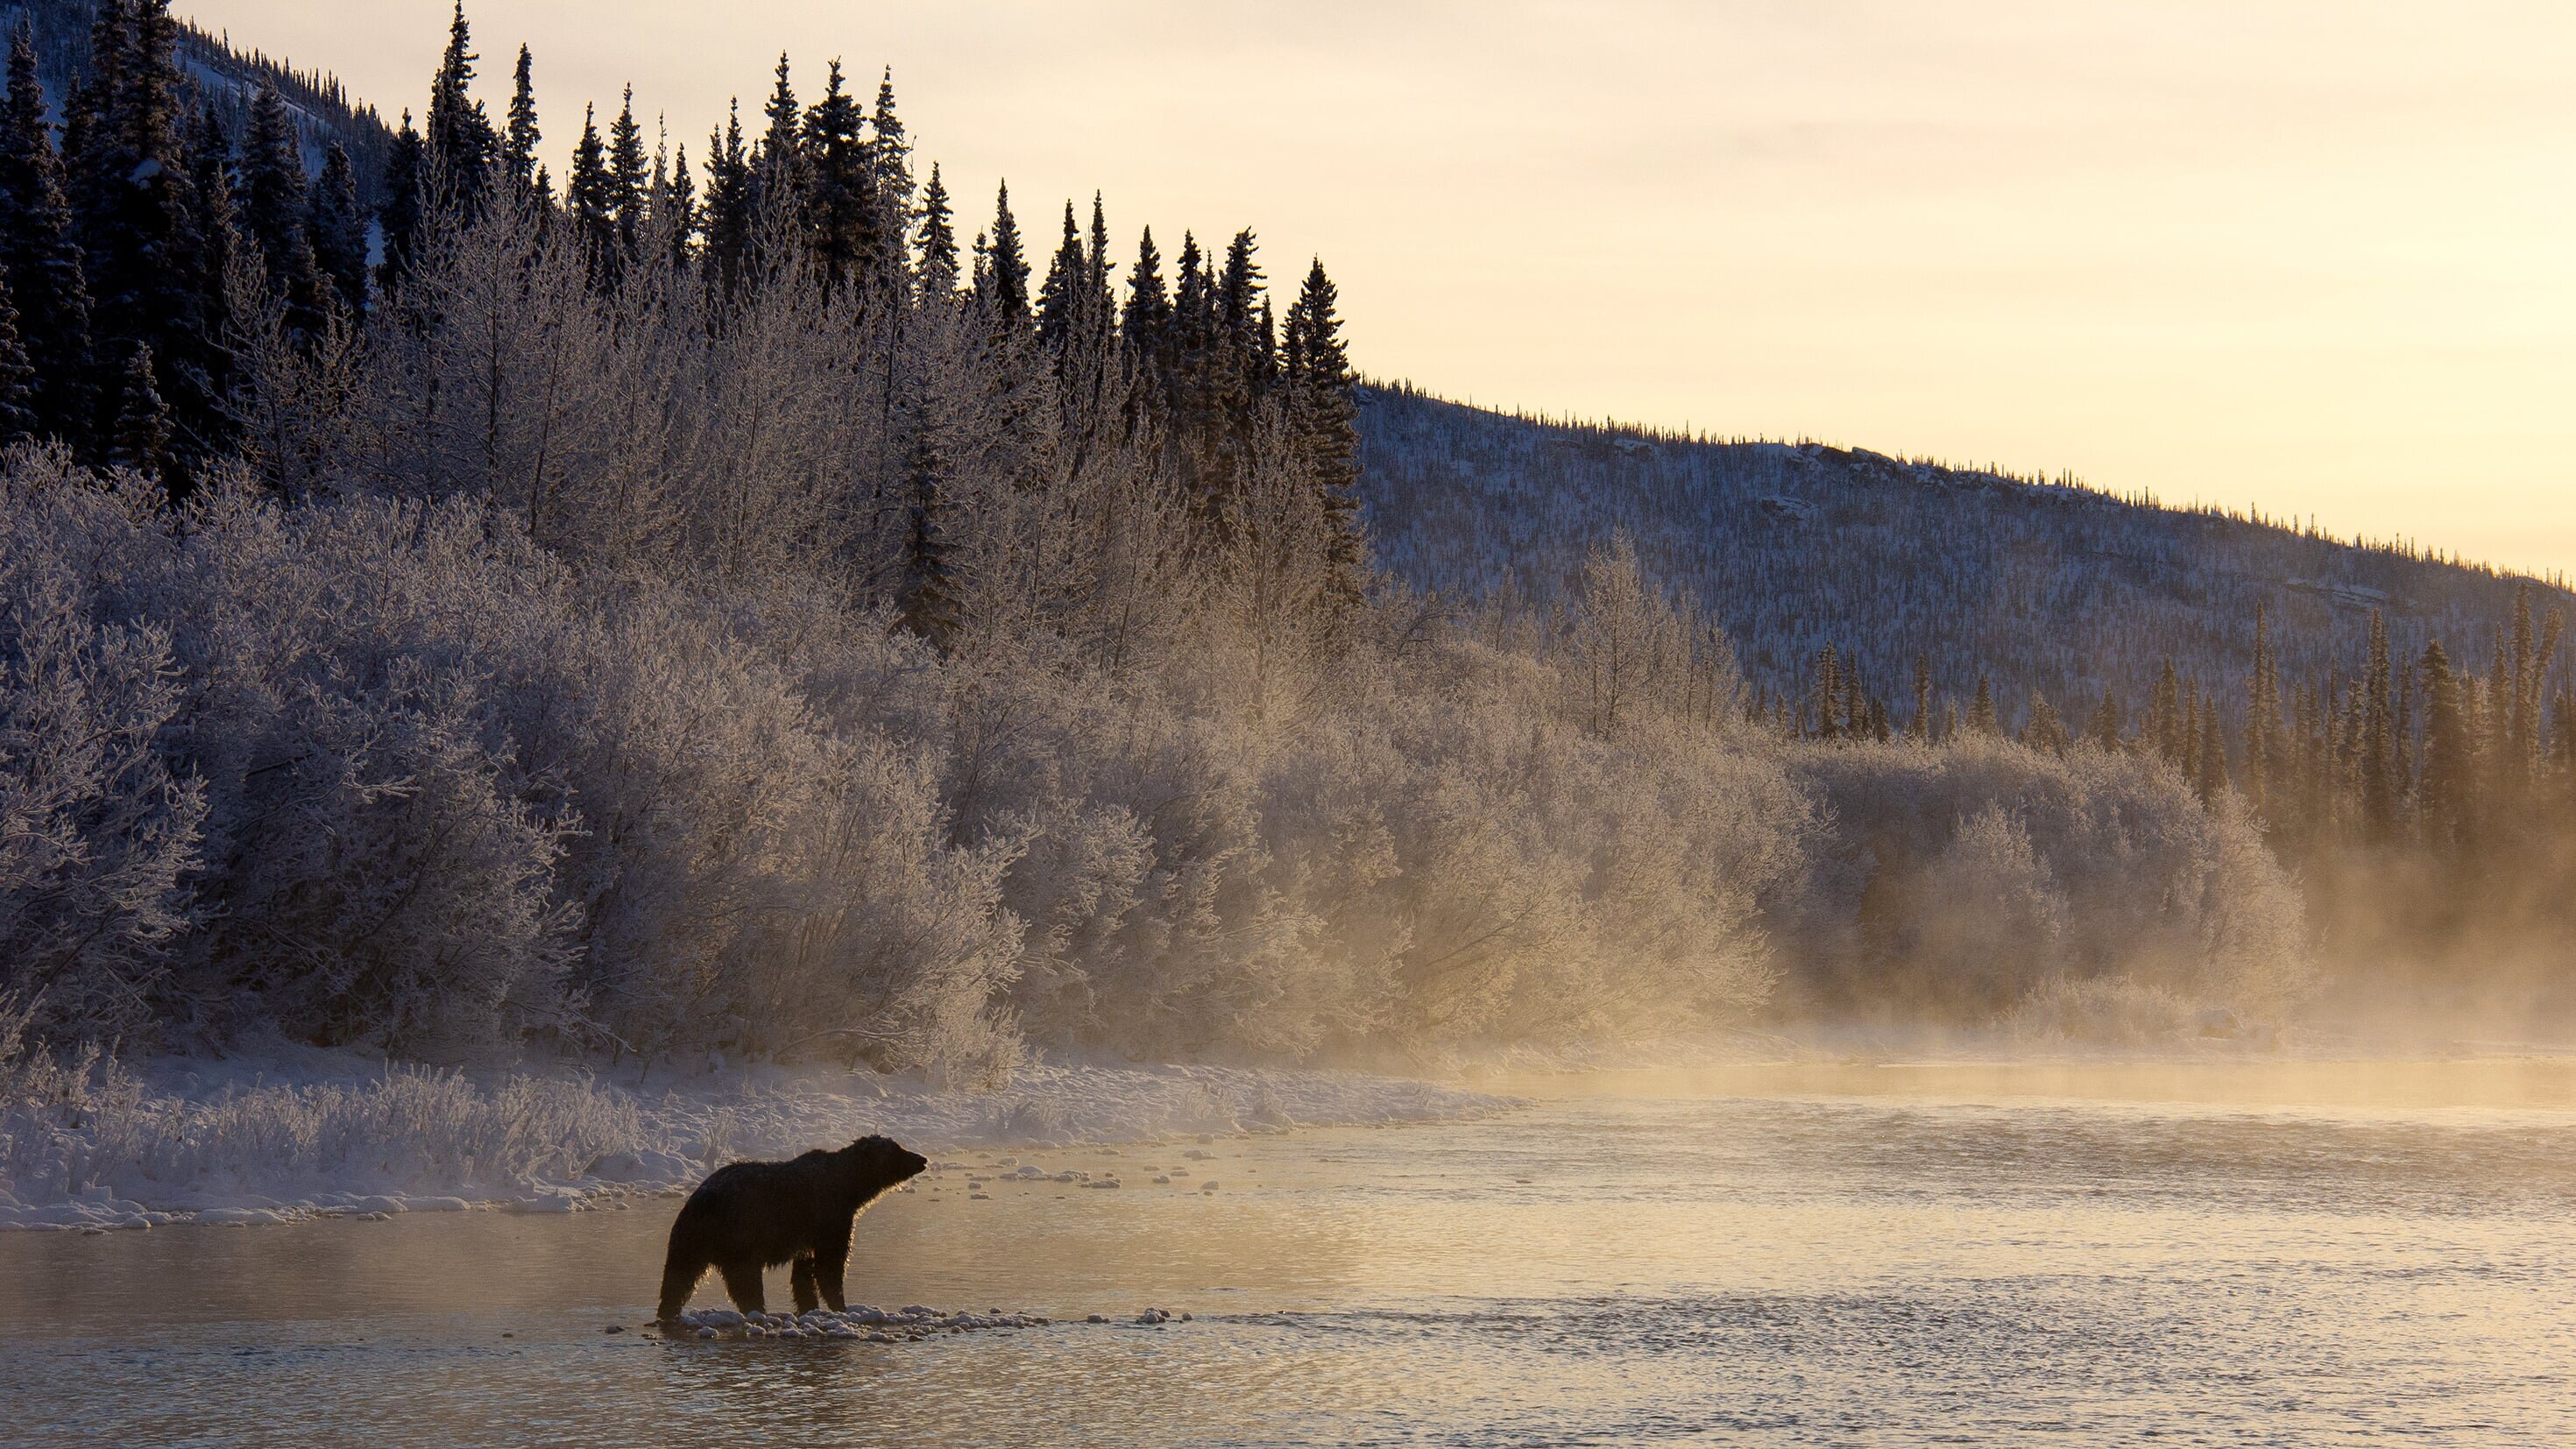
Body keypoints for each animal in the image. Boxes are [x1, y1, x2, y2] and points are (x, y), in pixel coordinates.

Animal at [654, 1132, 927, 1327]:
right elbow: (830, 1265)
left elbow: (804, 1272)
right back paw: (758, 1310)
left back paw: (668, 1311)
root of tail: (704, 1198)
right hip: (740, 1232)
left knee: (679, 1275)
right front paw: (841, 1306)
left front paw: (810, 1306)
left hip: (691, 1236)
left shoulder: (808, 1234)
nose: (922, 1159)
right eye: (897, 1150)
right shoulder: (829, 1218)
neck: (850, 1189)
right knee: (745, 1278)